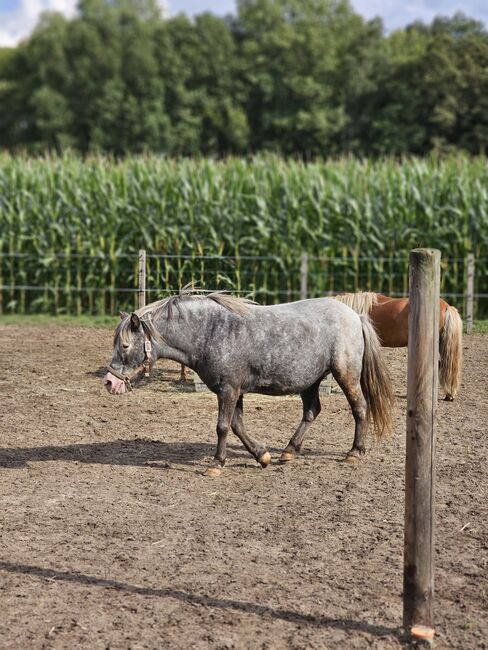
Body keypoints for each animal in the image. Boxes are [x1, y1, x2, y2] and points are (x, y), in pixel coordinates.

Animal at [105, 292, 394, 474]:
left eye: (125, 345)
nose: (109, 382)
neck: (211, 331)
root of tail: (355, 315)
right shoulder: (235, 391)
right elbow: (237, 426)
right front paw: (262, 456)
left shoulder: (228, 390)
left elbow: (222, 427)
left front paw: (216, 464)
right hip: (311, 380)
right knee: (312, 411)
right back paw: (289, 450)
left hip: (346, 375)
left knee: (359, 408)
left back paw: (354, 452)